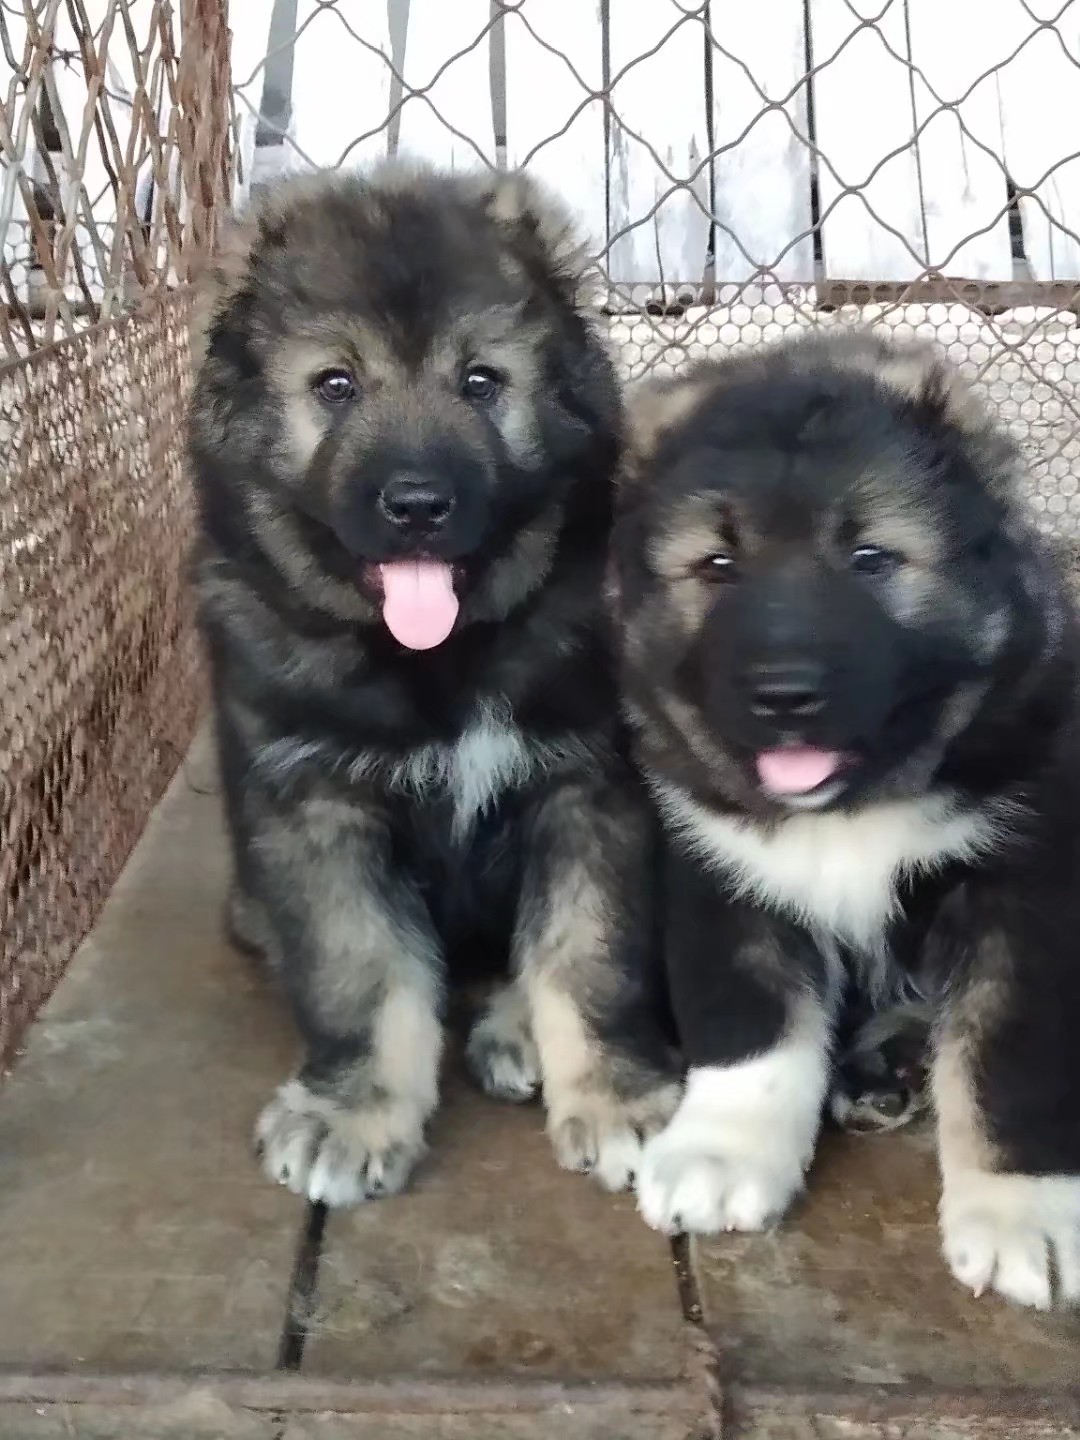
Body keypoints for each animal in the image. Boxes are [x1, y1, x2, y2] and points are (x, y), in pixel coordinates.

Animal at [187, 163, 676, 1209]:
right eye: (335, 386)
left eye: (480, 383)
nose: (417, 504)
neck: (438, 659)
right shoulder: (317, 804)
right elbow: (361, 969)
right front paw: (355, 1112)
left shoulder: (592, 789)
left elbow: (590, 952)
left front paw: (615, 1095)